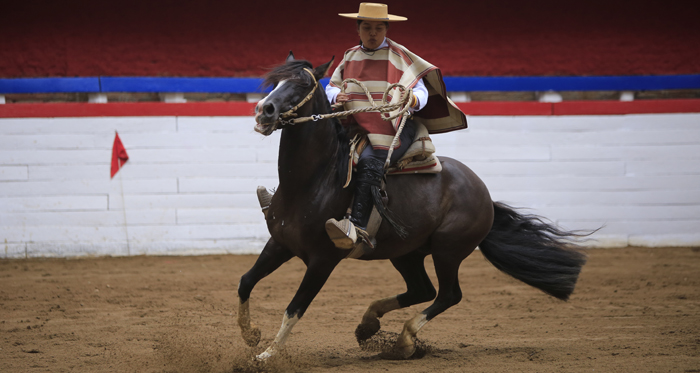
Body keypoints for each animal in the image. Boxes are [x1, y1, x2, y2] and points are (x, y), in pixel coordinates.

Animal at [238, 53, 588, 358]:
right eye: (274, 82)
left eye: (300, 84)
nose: (263, 110)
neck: (314, 182)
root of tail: (483, 193)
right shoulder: (280, 243)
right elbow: (246, 281)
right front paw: (251, 334)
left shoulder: (323, 259)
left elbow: (295, 307)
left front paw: (267, 355)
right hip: (407, 253)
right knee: (423, 290)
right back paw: (368, 326)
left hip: (448, 250)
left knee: (447, 295)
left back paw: (404, 339)